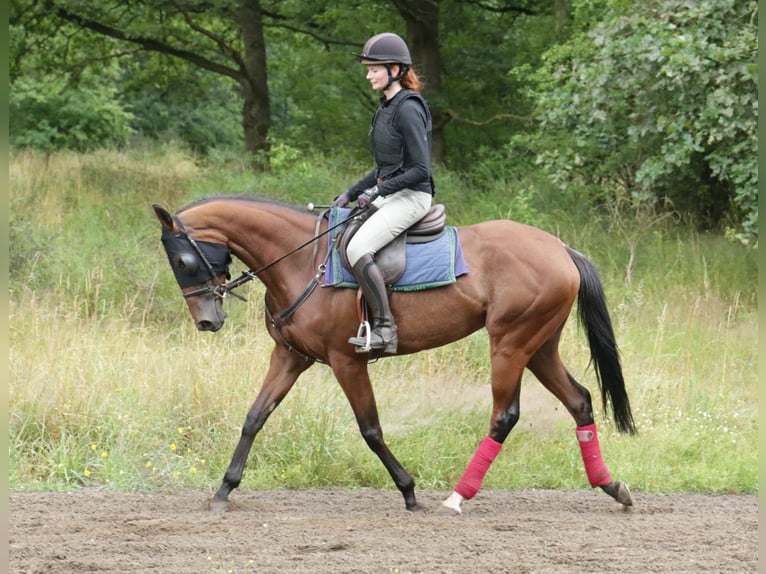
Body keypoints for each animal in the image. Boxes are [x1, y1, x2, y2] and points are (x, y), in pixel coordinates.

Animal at [153, 196, 640, 516]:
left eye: (182, 261)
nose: (207, 321)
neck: (302, 261)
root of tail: (561, 249)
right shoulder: (290, 357)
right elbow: (255, 417)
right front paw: (224, 489)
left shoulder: (346, 361)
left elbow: (370, 429)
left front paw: (408, 491)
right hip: (539, 347)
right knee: (579, 401)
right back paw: (611, 486)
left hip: (510, 344)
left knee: (505, 415)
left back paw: (458, 496)